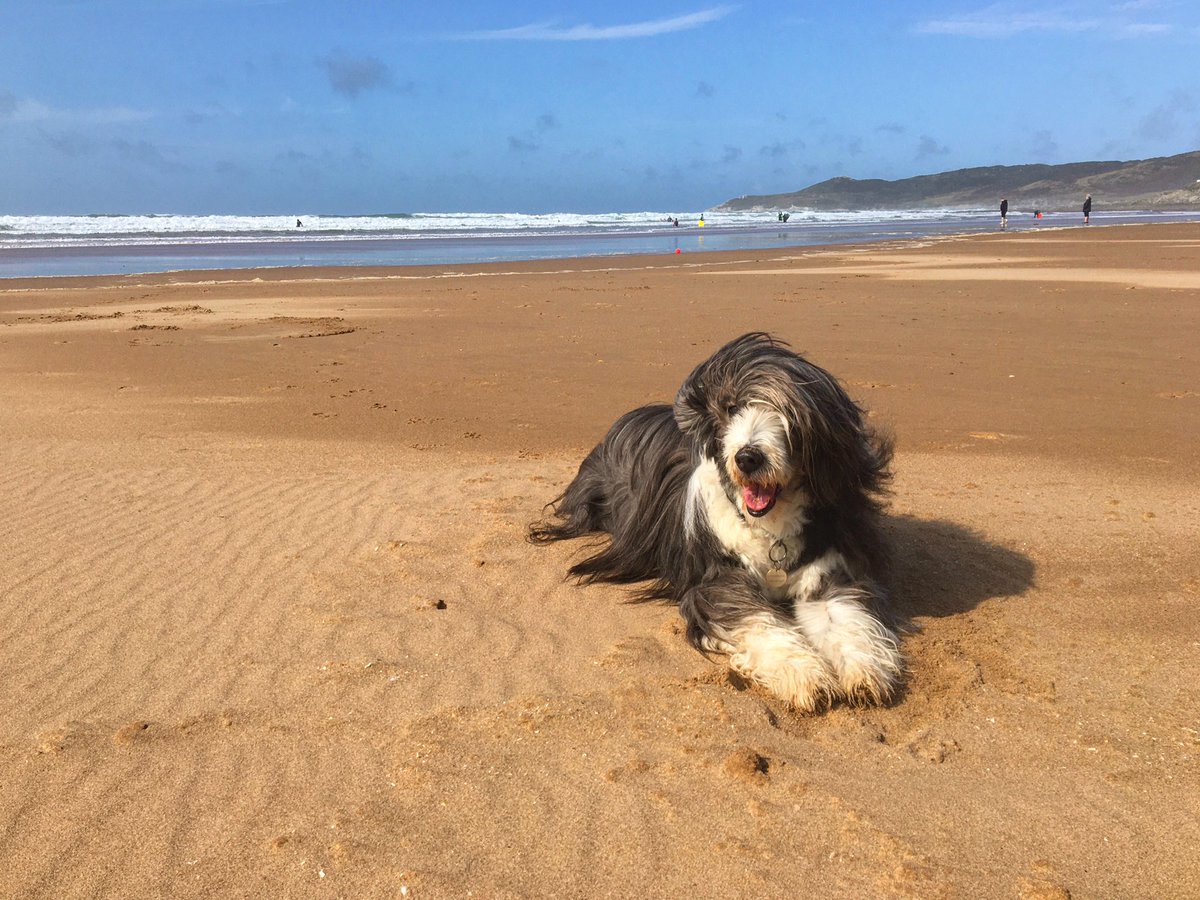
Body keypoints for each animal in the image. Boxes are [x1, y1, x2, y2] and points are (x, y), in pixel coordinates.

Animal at [528, 331, 902, 710]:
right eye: (732, 407)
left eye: (787, 416)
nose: (748, 457)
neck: (770, 528)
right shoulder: (717, 581)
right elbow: (758, 621)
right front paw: (804, 676)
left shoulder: (827, 571)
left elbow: (843, 616)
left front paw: (865, 673)